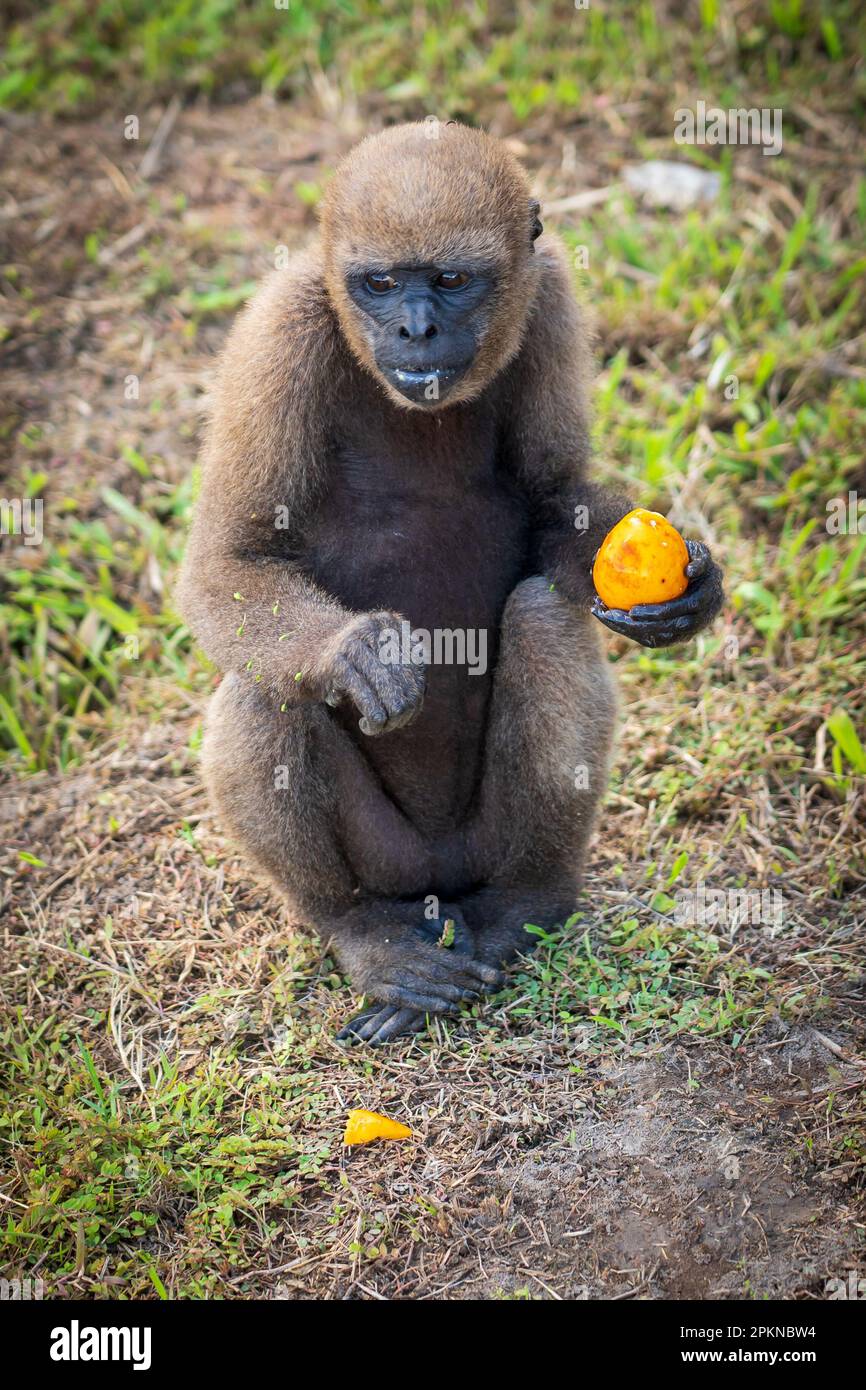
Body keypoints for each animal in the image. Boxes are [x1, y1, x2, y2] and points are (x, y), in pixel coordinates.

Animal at [174, 122, 717, 1045]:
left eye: (454, 281)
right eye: (381, 283)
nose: (416, 329)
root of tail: (439, 878)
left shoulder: (551, 291)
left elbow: (554, 503)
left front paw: (693, 593)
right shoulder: (280, 327)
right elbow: (230, 560)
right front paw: (354, 656)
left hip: (481, 845)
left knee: (543, 617)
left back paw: (524, 906)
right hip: (390, 857)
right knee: (267, 686)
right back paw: (362, 931)